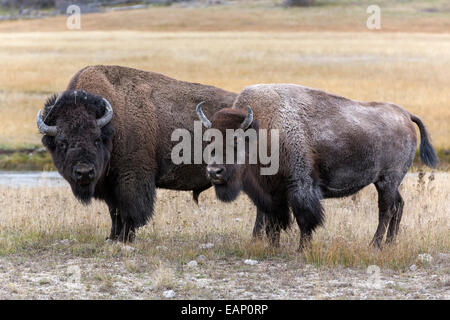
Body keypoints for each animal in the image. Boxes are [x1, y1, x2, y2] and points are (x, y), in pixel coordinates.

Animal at [37, 66, 237, 242]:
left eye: (97, 139)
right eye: (62, 142)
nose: (84, 172)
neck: (113, 124)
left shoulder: (131, 180)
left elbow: (129, 212)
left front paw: (125, 238)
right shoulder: (110, 186)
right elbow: (114, 212)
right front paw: (112, 237)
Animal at [197, 84, 440, 249]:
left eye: (235, 141)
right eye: (209, 140)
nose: (214, 172)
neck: (263, 128)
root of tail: (405, 115)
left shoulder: (300, 186)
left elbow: (304, 218)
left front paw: (302, 248)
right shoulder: (269, 192)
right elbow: (270, 219)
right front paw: (273, 246)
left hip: (387, 181)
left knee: (387, 210)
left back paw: (375, 245)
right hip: (388, 183)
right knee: (399, 205)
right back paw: (389, 244)